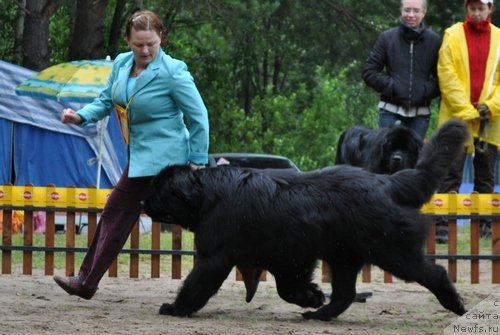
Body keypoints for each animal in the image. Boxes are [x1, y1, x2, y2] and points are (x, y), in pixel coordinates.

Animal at [144, 120, 468, 320]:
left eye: (159, 190)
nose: (143, 201)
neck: (206, 194)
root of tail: (388, 182)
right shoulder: (289, 258)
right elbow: (288, 288)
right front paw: (312, 296)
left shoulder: (217, 256)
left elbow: (197, 284)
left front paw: (174, 307)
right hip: (344, 256)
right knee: (345, 294)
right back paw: (319, 314)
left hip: (392, 251)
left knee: (435, 273)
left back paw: (455, 304)